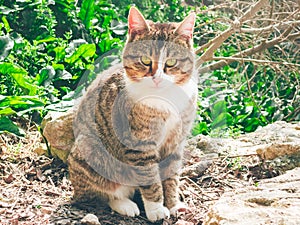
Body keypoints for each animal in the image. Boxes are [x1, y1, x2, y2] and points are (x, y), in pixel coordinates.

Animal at [68, 7, 199, 221]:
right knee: (101, 195)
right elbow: (150, 178)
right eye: (145, 60)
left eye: (171, 62)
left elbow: (171, 176)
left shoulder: (175, 142)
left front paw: (173, 204)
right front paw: (156, 209)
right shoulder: (140, 144)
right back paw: (124, 204)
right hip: (90, 150)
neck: (163, 98)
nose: (157, 78)